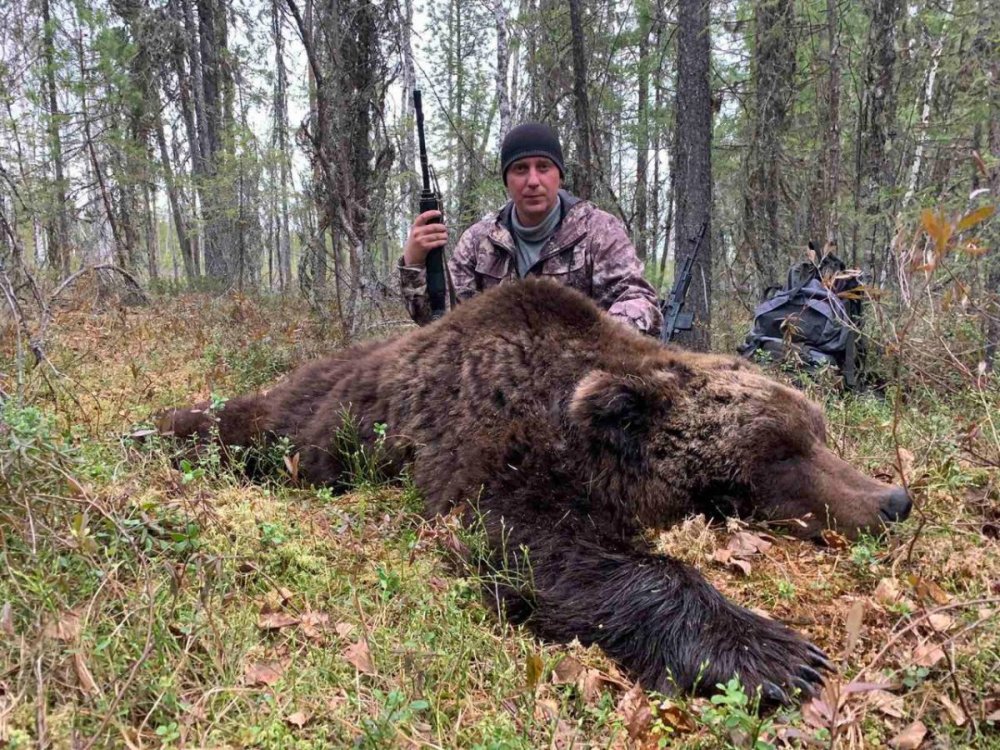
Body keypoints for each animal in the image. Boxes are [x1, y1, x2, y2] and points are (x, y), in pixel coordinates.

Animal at [158, 280, 916, 704]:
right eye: (782, 453)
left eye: (819, 433)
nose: (894, 500)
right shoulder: (488, 445)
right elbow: (533, 545)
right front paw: (775, 654)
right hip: (319, 421)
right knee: (252, 424)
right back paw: (168, 426)